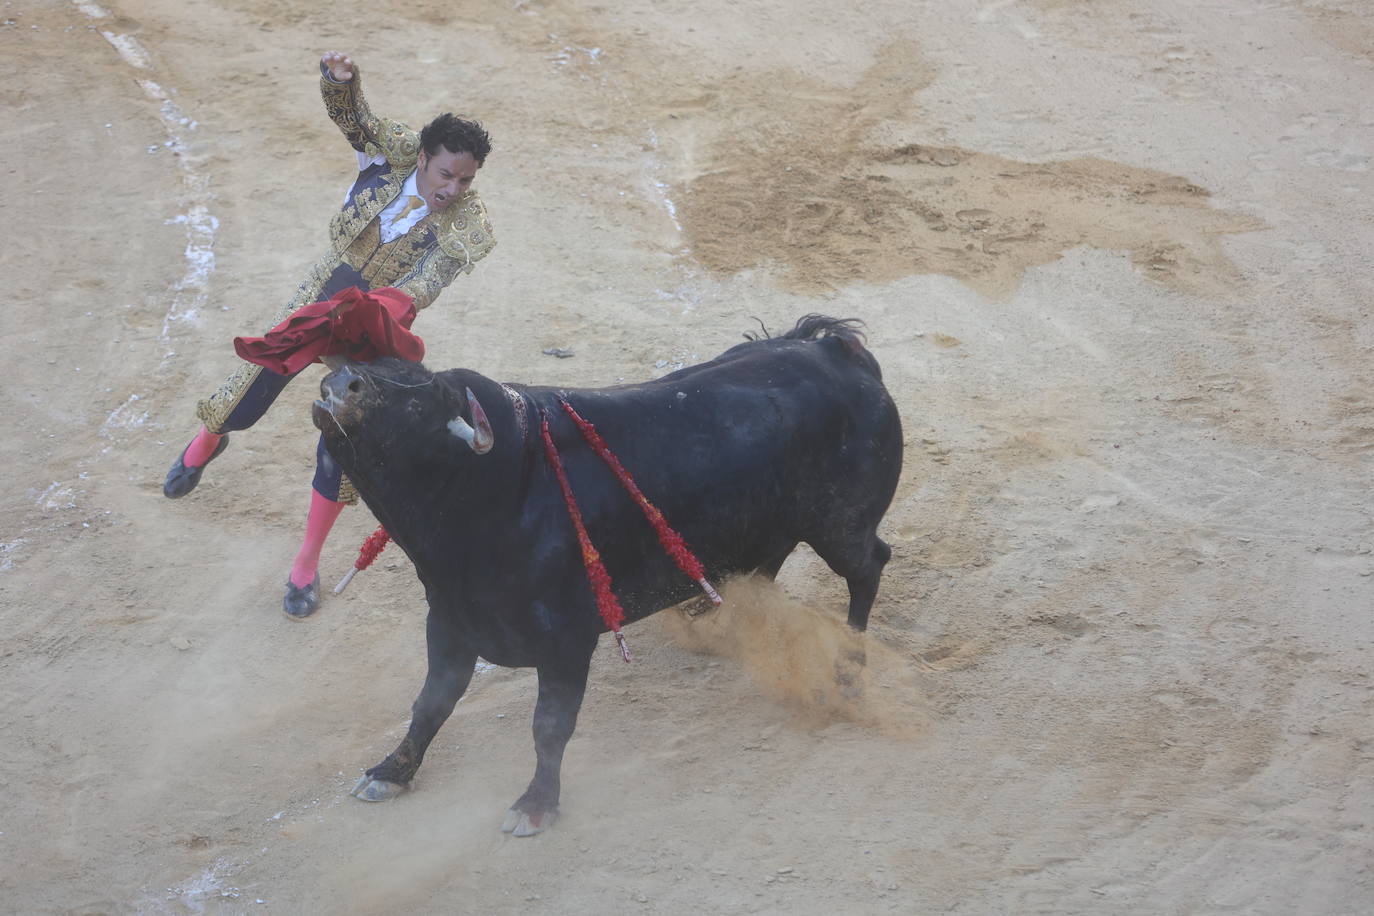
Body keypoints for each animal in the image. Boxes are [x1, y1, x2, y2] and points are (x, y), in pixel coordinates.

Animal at [316, 315, 906, 840]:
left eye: (419, 401)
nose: (338, 386)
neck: (499, 487)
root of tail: (835, 351)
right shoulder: (450, 621)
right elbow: (430, 704)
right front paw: (390, 772)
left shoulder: (565, 642)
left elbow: (549, 727)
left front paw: (536, 805)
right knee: (766, 566)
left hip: (841, 527)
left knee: (867, 568)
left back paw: (848, 670)